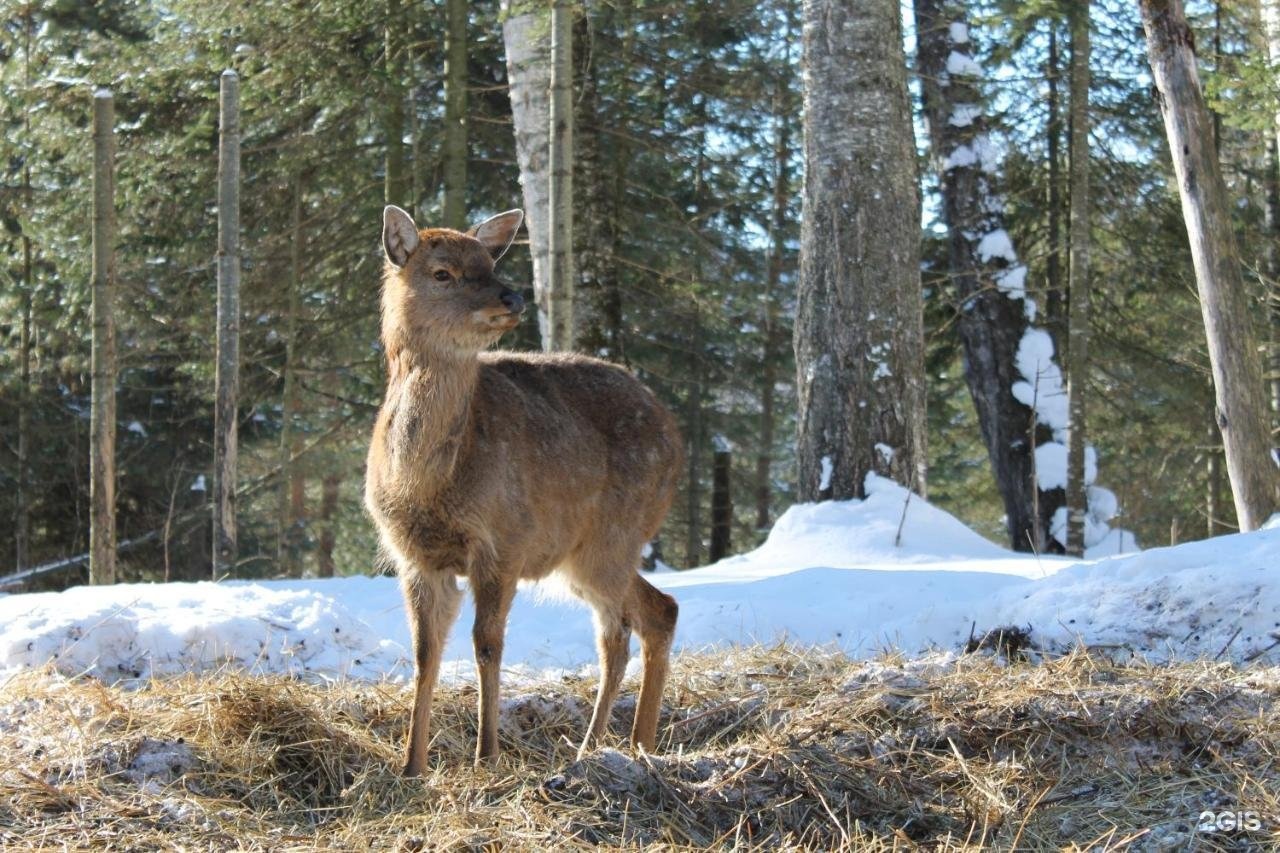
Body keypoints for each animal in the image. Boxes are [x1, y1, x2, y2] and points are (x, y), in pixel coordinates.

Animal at [366, 204, 686, 768]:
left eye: (489, 263)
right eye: (442, 272)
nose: (511, 297)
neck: (425, 486)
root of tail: (677, 437)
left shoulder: (504, 540)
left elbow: (486, 645)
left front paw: (486, 756)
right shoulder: (415, 557)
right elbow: (426, 653)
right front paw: (411, 766)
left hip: (611, 538)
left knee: (630, 625)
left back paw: (607, 747)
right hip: (583, 555)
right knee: (647, 616)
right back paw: (624, 745)